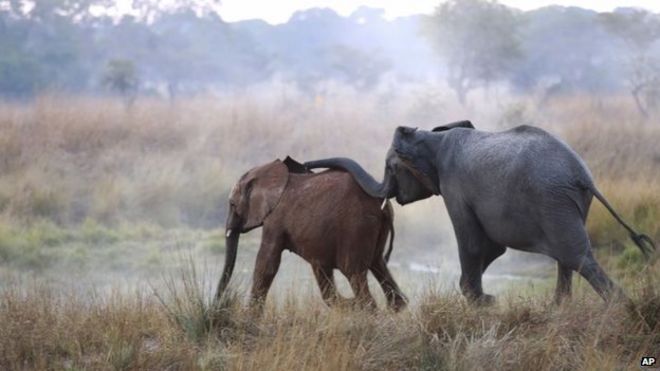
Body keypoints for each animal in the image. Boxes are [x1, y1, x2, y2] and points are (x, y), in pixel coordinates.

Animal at [214, 155, 408, 312]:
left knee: (353, 271)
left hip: (357, 227)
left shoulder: (275, 218)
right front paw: (346, 304)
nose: (216, 305)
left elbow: (267, 263)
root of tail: (383, 204)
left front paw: (250, 316)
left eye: (232, 204)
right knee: (378, 263)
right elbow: (320, 268)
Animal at [306, 122, 656, 306]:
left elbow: (473, 242)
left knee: (576, 256)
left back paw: (622, 309)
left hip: (552, 200)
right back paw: (560, 308)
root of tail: (583, 176)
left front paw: (482, 301)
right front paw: (483, 298)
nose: (306, 166)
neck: (433, 135)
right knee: (566, 258)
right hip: (569, 203)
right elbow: (492, 248)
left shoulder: (455, 185)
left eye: (391, 168)